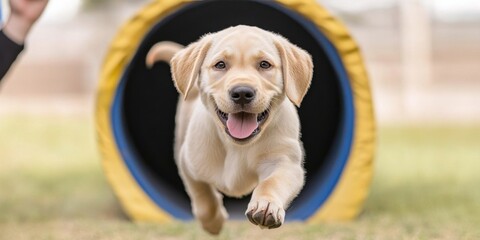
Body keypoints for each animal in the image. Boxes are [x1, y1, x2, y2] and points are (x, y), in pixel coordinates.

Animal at [144, 24, 314, 234]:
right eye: (220, 65)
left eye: (265, 64)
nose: (242, 93)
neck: (237, 146)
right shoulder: (188, 163)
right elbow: (203, 196)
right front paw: (213, 223)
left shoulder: (286, 162)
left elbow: (272, 182)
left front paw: (266, 206)